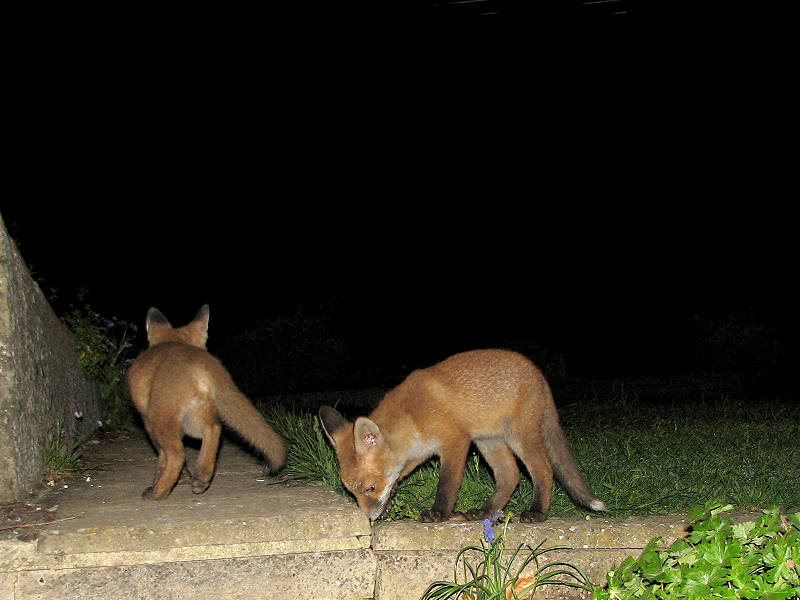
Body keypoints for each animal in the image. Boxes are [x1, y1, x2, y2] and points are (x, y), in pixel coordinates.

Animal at [127, 305, 286, 500]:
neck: (173, 339)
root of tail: (199, 361)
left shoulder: (147, 421)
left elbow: (161, 457)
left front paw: (162, 480)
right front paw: (185, 477)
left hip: (163, 419)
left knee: (177, 454)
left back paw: (159, 492)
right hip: (199, 415)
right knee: (214, 430)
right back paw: (201, 478)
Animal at [319, 349, 605, 523]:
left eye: (370, 488)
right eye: (352, 493)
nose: (368, 519)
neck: (413, 417)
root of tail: (538, 373)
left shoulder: (455, 441)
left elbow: (447, 484)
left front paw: (439, 513)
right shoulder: (417, 454)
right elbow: (397, 478)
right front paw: (390, 503)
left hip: (519, 436)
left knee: (543, 470)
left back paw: (537, 512)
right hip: (489, 442)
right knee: (510, 475)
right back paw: (487, 511)